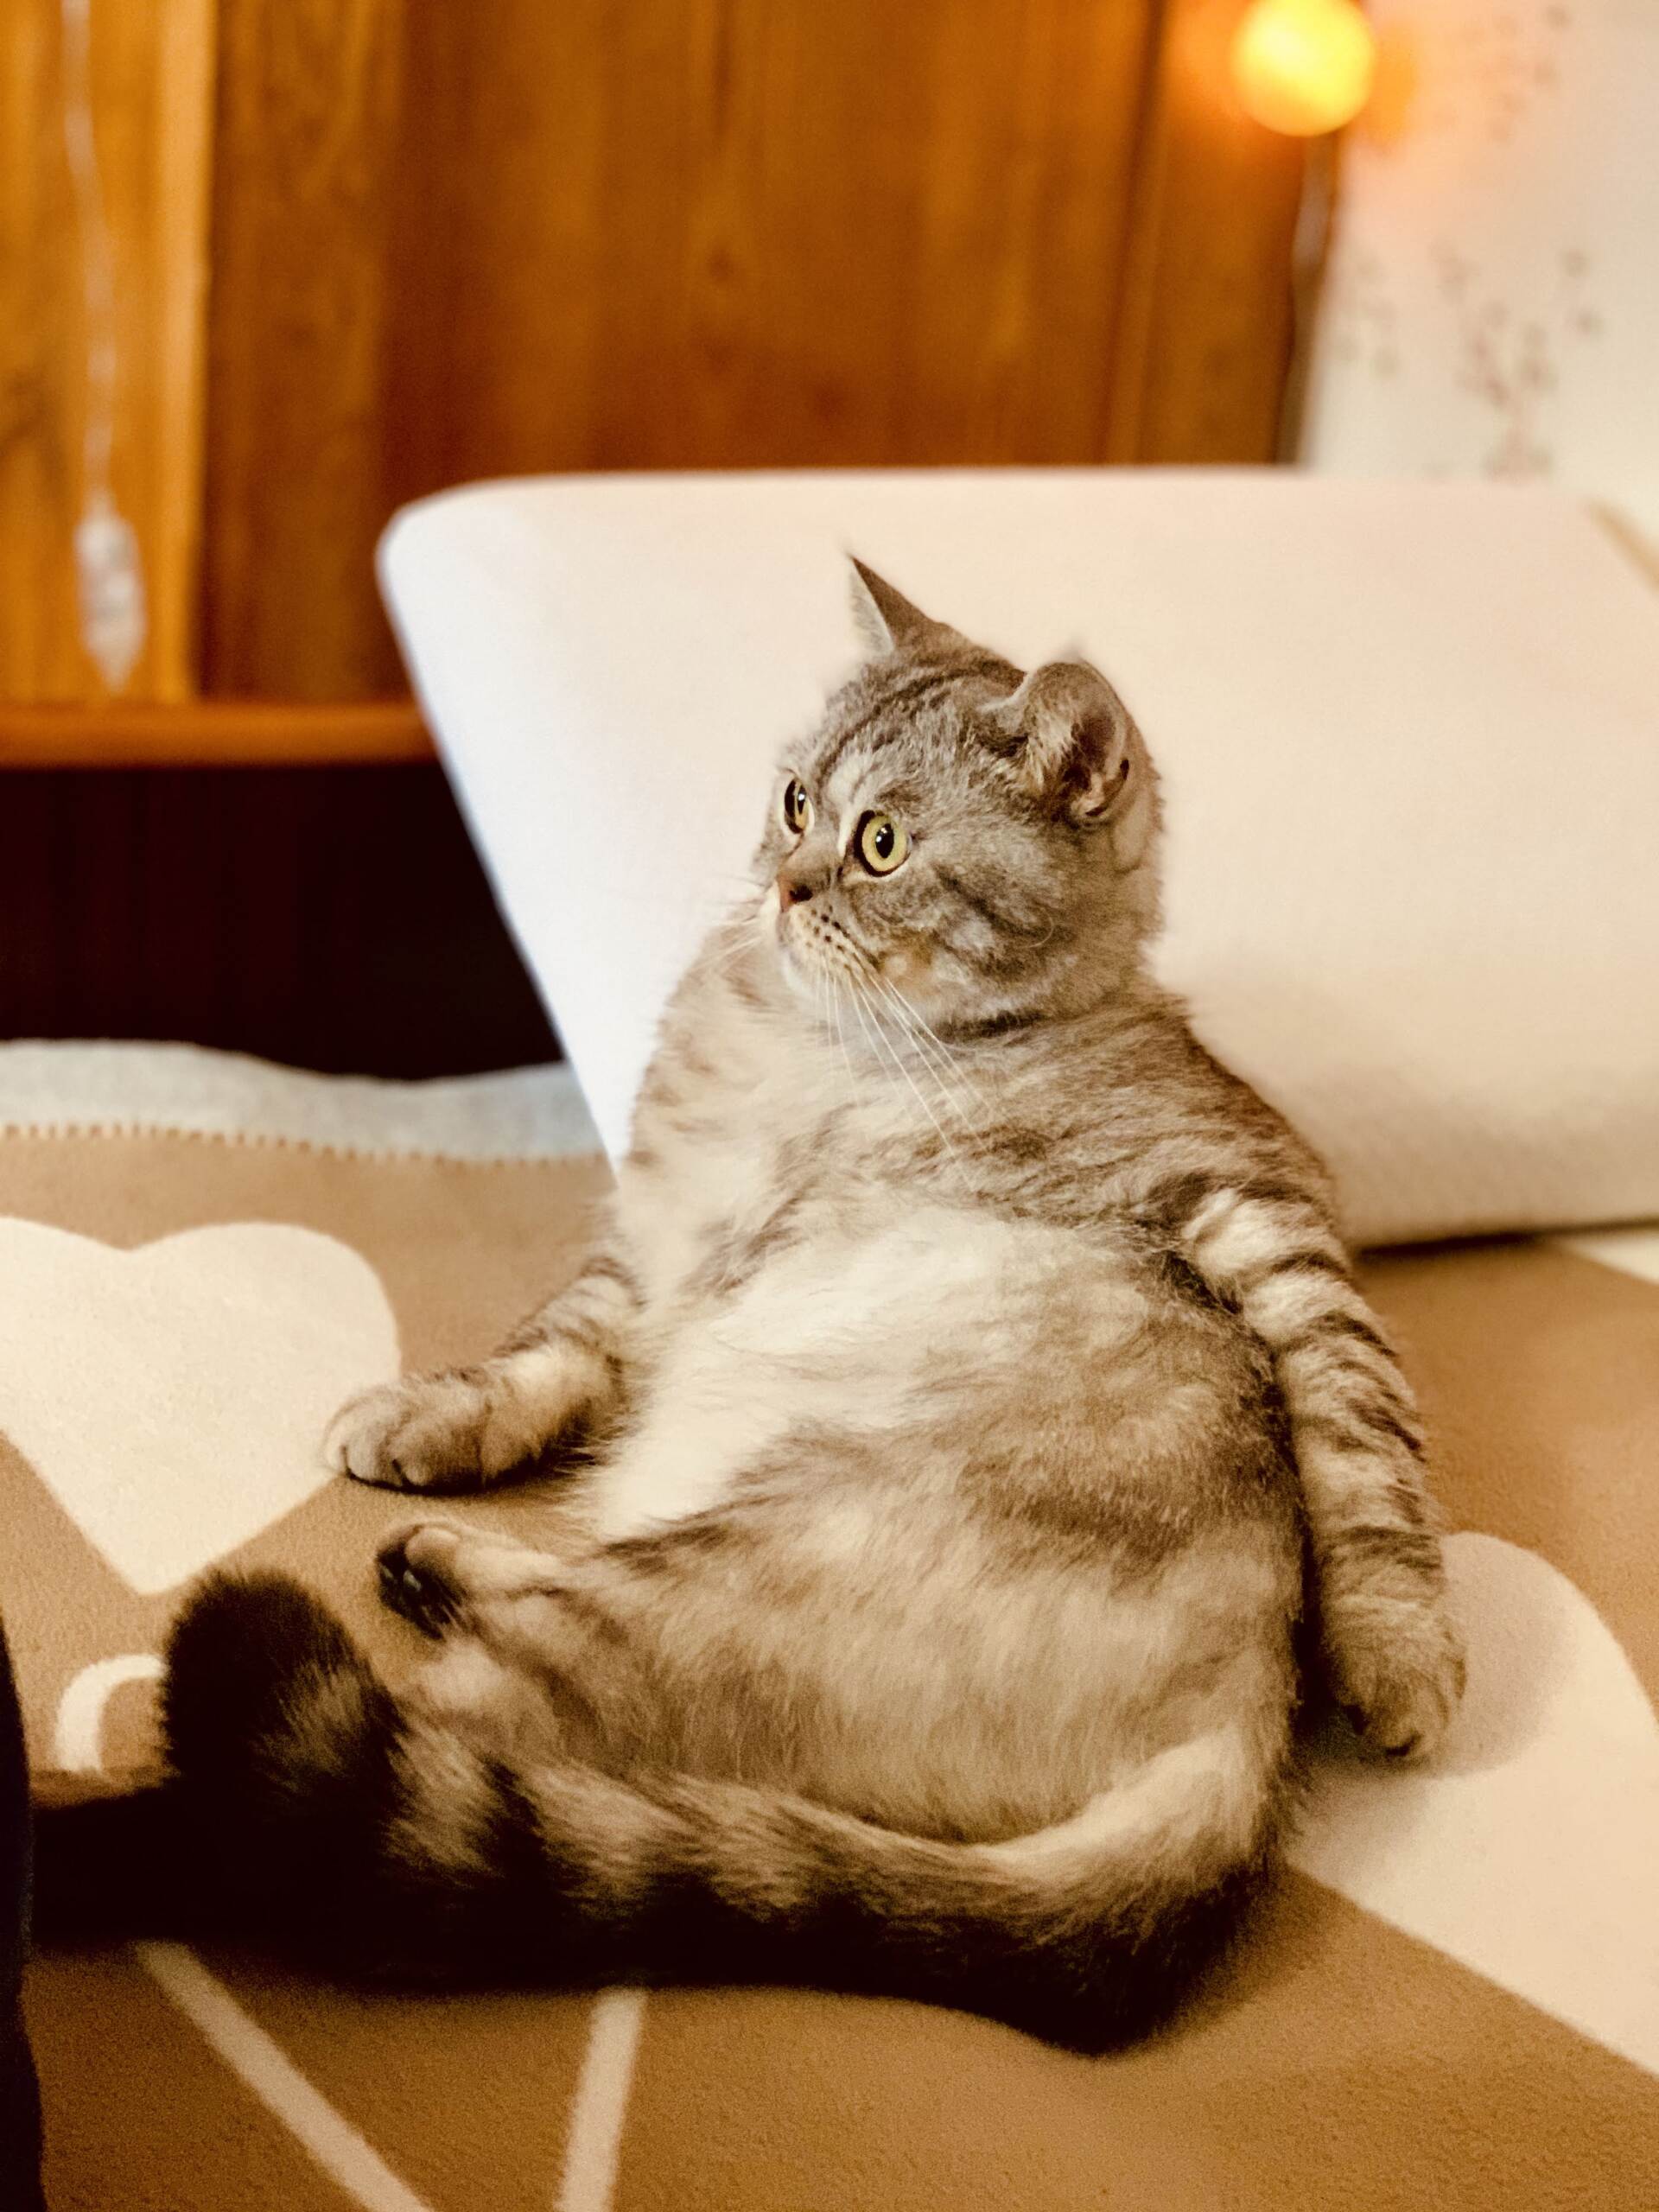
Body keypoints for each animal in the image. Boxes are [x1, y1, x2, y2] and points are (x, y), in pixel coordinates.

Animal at [42, 563, 1464, 2051]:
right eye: (794, 802)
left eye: (880, 842)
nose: (782, 886)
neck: (814, 1047)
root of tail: (1245, 1751)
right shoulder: (655, 1254)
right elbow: (541, 1356)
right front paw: (428, 1417)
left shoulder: (1251, 1193)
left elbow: (1365, 1438)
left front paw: (1398, 1649)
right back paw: (429, 1561)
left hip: (683, 1591)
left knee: (378, 1787)